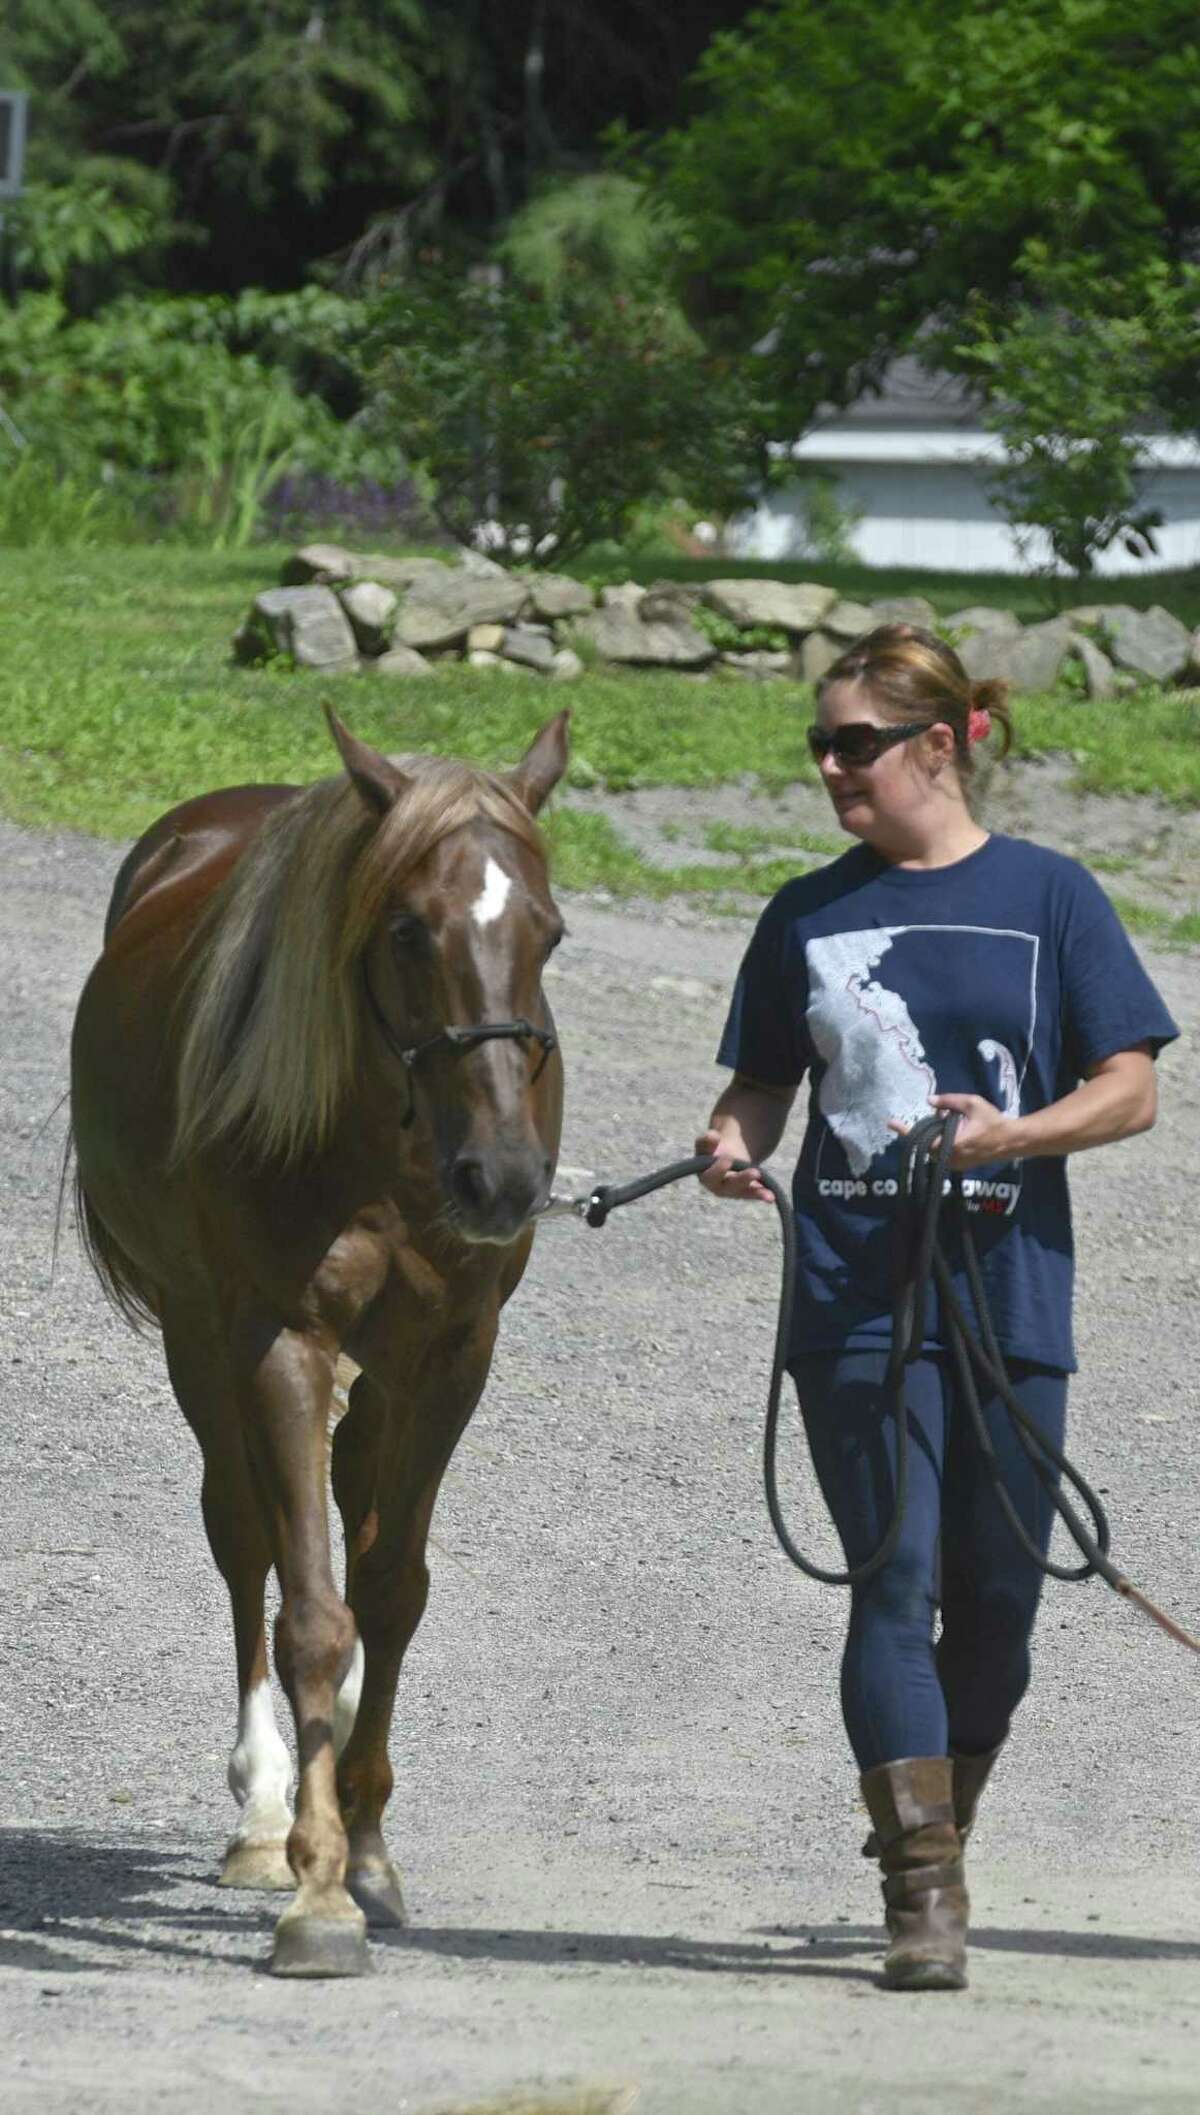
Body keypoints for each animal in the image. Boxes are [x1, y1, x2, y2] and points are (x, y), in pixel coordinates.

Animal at [69, 704, 570, 1977]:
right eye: (405, 928)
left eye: (549, 932)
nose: (503, 1181)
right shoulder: (275, 1342)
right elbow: (308, 1610)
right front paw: (318, 1886)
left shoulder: (453, 1356)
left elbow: (390, 1592)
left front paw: (371, 1848)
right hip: (200, 1338)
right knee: (245, 1534)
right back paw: (265, 1809)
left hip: (379, 1377)